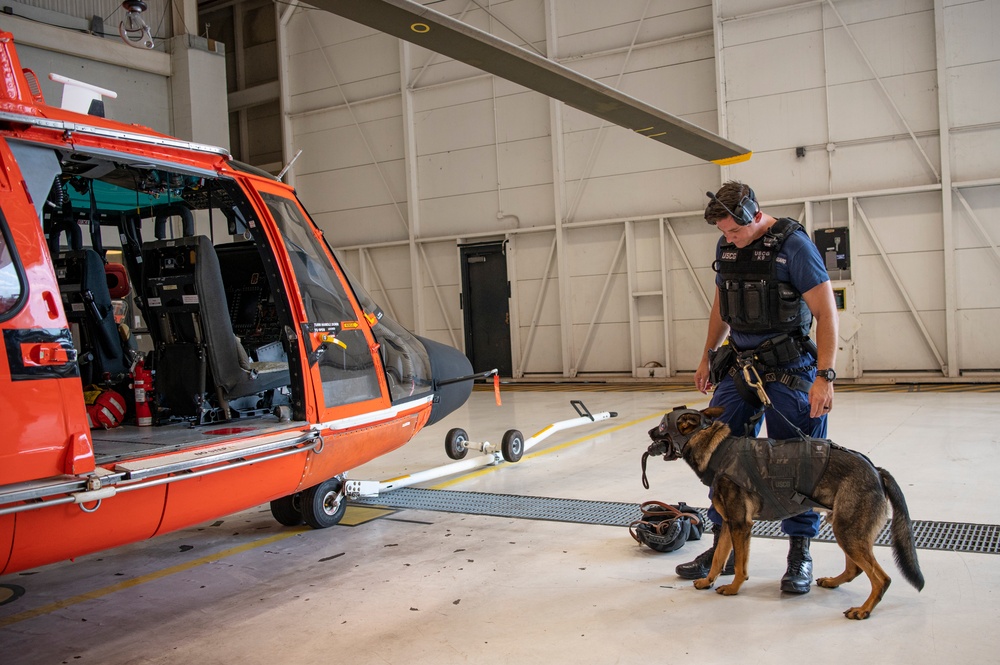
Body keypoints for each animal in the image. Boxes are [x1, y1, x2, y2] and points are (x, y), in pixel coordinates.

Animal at [648, 404, 920, 616]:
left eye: (661, 426)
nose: (649, 431)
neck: (716, 450)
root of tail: (877, 470)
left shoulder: (741, 525)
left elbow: (740, 566)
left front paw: (734, 588)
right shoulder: (728, 524)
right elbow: (718, 558)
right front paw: (708, 581)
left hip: (848, 532)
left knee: (882, 578)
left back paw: (863, 610)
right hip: (845, 528)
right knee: (855, 568)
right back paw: (834, 582)